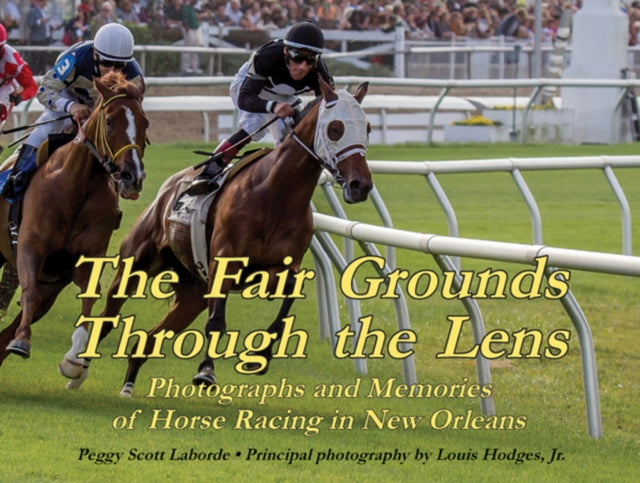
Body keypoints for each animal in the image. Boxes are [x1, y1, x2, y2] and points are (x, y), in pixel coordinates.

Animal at [0, 71, 148, 366]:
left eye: (145, 122)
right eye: (109, 121)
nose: (133, 176)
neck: (77, 188)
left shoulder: (83, 259)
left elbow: (90, 297)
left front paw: (77, 355)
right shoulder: (30, 247)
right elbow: (28, 289)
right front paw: (22, 341)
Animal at [62, 77, 372, 398]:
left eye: (368, 128)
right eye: (335, 128)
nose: (360, 184)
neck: (275, 194)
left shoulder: (276, 269)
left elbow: (287, 299)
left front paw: (260, 357)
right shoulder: (224, 263)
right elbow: (216, 321)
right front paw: (206, 372)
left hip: (192, 294)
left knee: (147, 340)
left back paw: (127, 386)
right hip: (135, 262)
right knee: (107, 317)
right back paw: (76, 369)